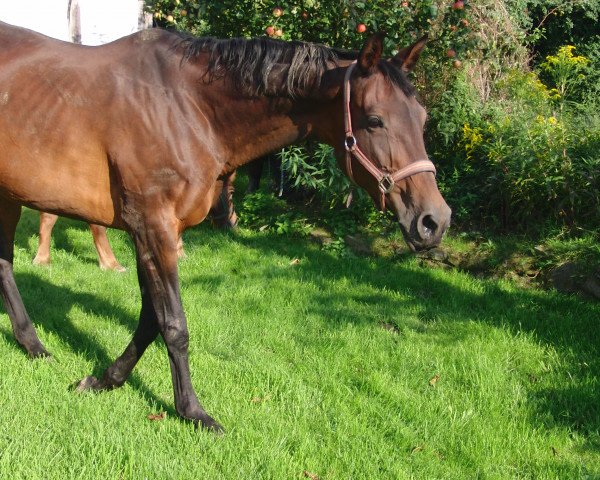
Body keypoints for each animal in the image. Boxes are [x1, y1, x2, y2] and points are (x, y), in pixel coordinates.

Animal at [0, 22, 450, 432]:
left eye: (422, 117)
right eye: (374, 120)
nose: (435, 221)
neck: (186, 107)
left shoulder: (155, 233)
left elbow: (150, 320)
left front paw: (105, 380)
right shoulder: (153, 227)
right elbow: (173, 325)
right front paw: (192, 412)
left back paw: (33, 346)